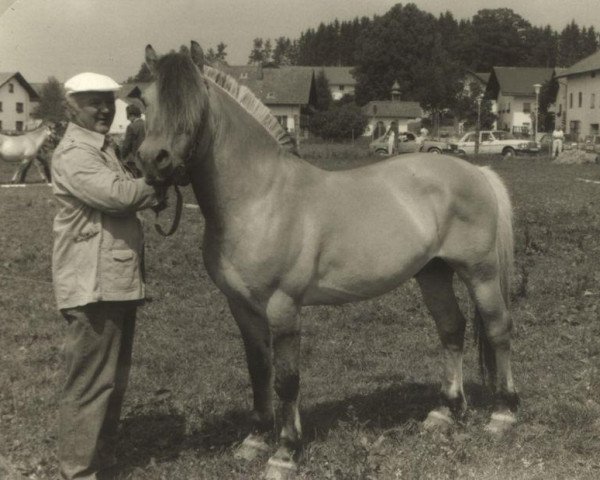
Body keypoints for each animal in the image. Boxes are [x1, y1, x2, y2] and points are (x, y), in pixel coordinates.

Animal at [136, 43, 516, 478]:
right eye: (144, 100)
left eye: (195, 104)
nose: (153, 161)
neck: (260, 198)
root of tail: (476, 172)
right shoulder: (241, 307)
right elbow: (259, 370)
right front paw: (254, 440)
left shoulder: (282, 307)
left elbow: (287, 379)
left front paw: (285, 453)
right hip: (432, 273)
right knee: (452, 329)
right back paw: (445, 413)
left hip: (480, 272)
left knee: (498, 328)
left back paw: (503, 415)